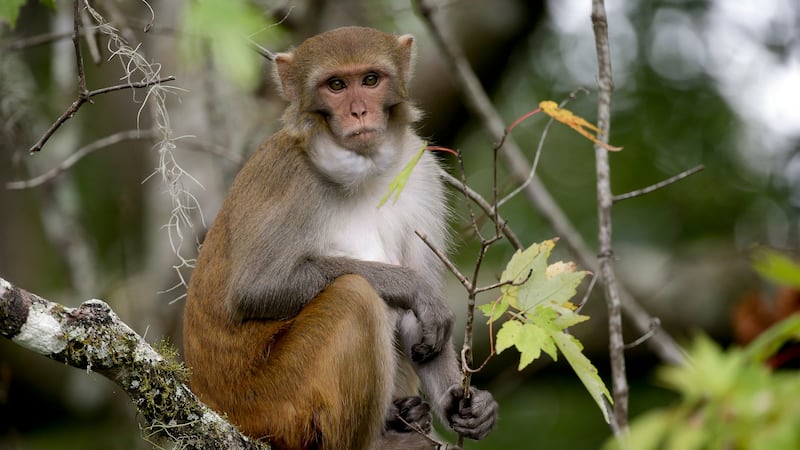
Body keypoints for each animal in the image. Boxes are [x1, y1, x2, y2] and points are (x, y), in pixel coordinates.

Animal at [183, 26, 498, 449]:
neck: (365, 169)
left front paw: (468, 404)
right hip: (271, 403)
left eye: (370, 80)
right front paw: (413, 286)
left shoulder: (421, 171)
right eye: (335, 85)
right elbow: (256, 288)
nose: (359, 112)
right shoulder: (288, 175)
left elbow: (420, 328)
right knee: (355, 296)